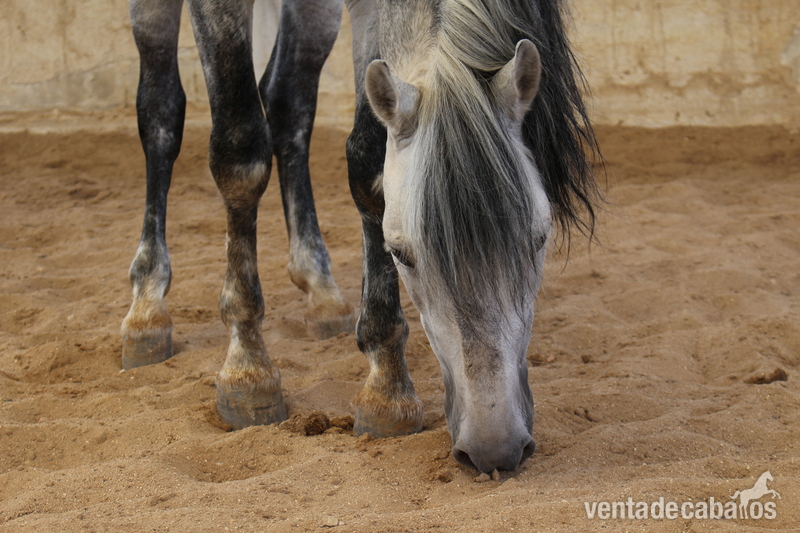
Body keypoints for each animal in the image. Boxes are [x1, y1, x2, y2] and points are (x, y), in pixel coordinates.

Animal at [123, 0, 600, 474]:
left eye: (539, 240)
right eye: (401, 254)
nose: (494, 448)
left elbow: (369, 162)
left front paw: (386, 385)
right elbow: (240, 157)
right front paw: (248, 367)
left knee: (287, 104)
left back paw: (320, 288)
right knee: (160, 111)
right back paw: (147, 305)